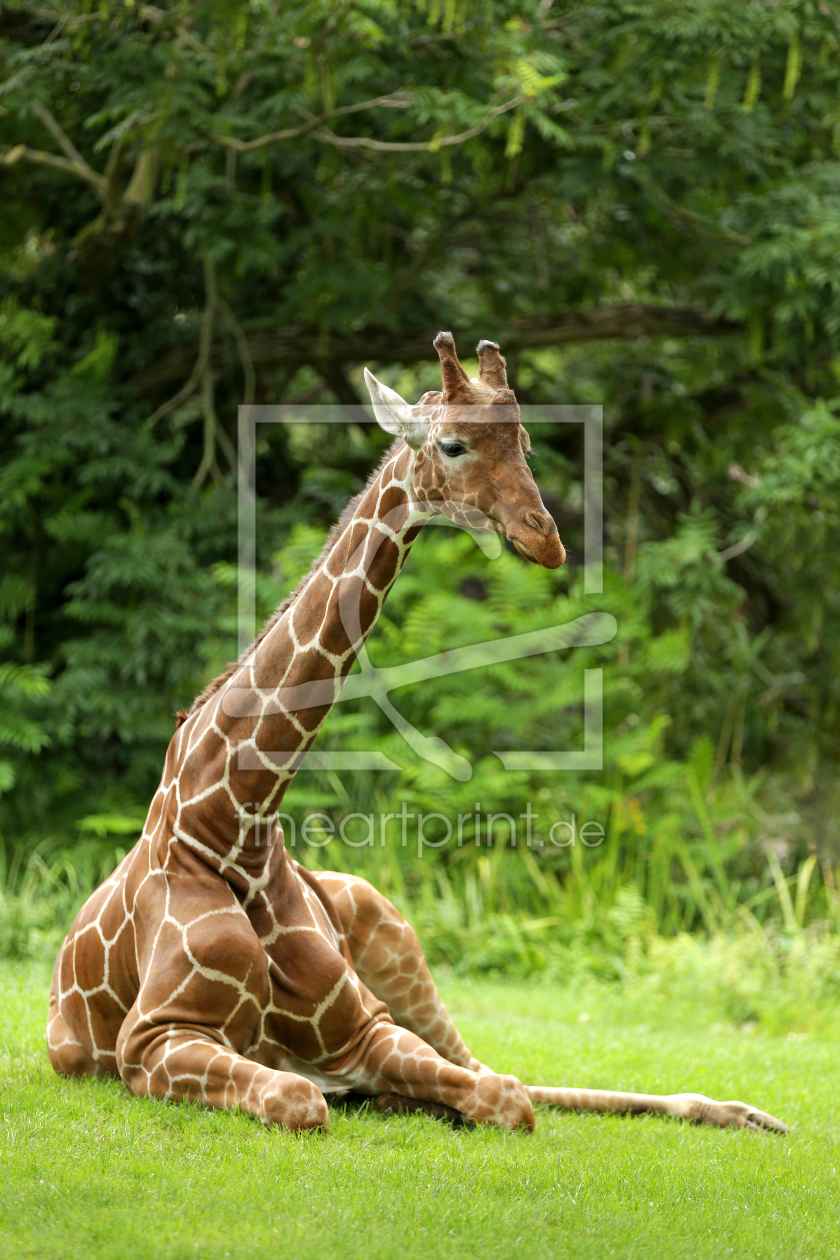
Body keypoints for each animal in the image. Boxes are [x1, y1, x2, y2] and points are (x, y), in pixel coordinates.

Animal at [47, 332, 790, 1134]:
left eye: (526, 442)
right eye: (454, 444)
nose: (547, 539)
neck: (233, 821)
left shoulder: (365, 1027)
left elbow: (506, 1098)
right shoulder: (152, 1038)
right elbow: (301, 1098)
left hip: (396, 936)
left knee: (503, 1072)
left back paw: (744, 1112)